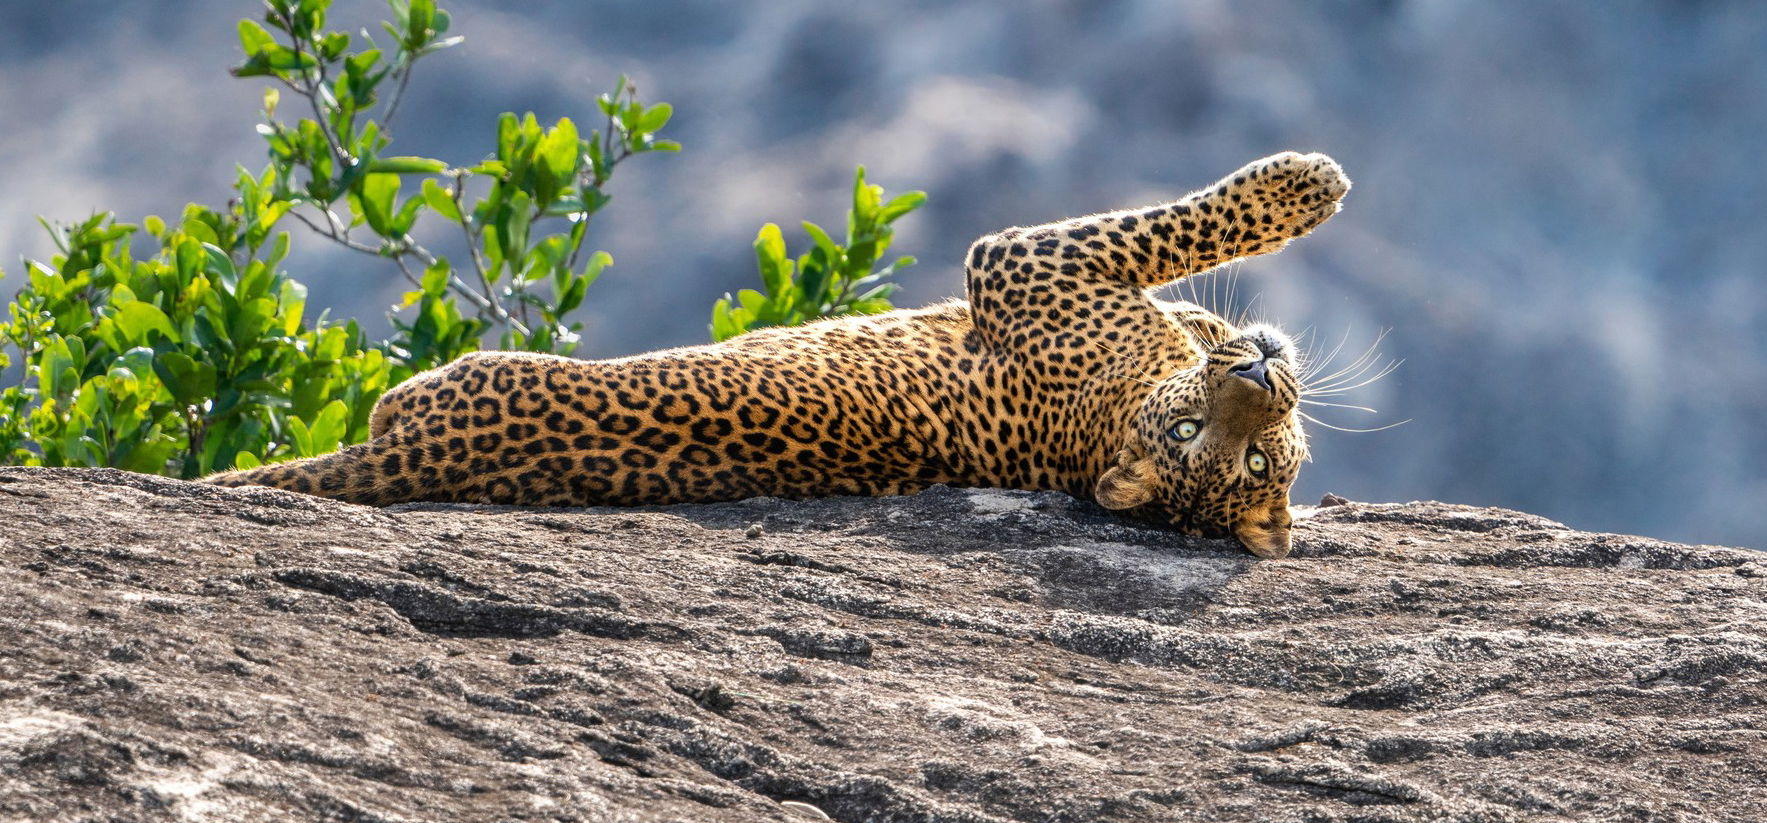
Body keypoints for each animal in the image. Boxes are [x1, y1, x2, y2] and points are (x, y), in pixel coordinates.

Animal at [217, 151, 1349, 558]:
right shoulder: (1029, 266)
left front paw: (1306, 184)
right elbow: (1182, 240)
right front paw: (1306, 188)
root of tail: (402, 461)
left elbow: (1185, 225)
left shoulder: (1027, 262)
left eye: (1249, 461)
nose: (1255, 375)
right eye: (1193, 431)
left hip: (444, 382)